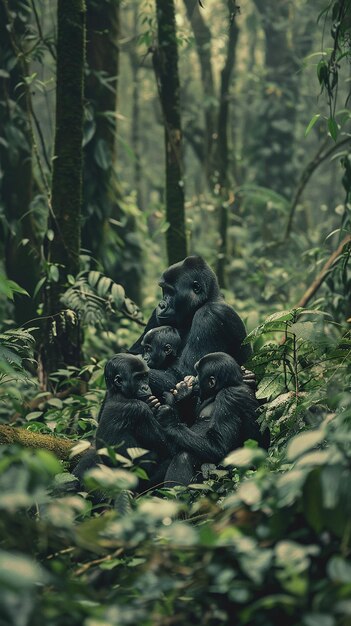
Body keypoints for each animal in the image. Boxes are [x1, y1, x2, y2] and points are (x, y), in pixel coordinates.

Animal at [73, 354, 173, 486]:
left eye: (145, 376)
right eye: (138, 378)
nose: (146, 387)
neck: (119, 393)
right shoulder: (139, 409)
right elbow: (167, 447)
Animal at [150, 352, 266, 482]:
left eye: (198, 373)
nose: (194, 379)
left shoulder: (228, 397)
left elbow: (219, 447)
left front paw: (168, 418)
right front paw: (183, 393)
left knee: (184, 456)